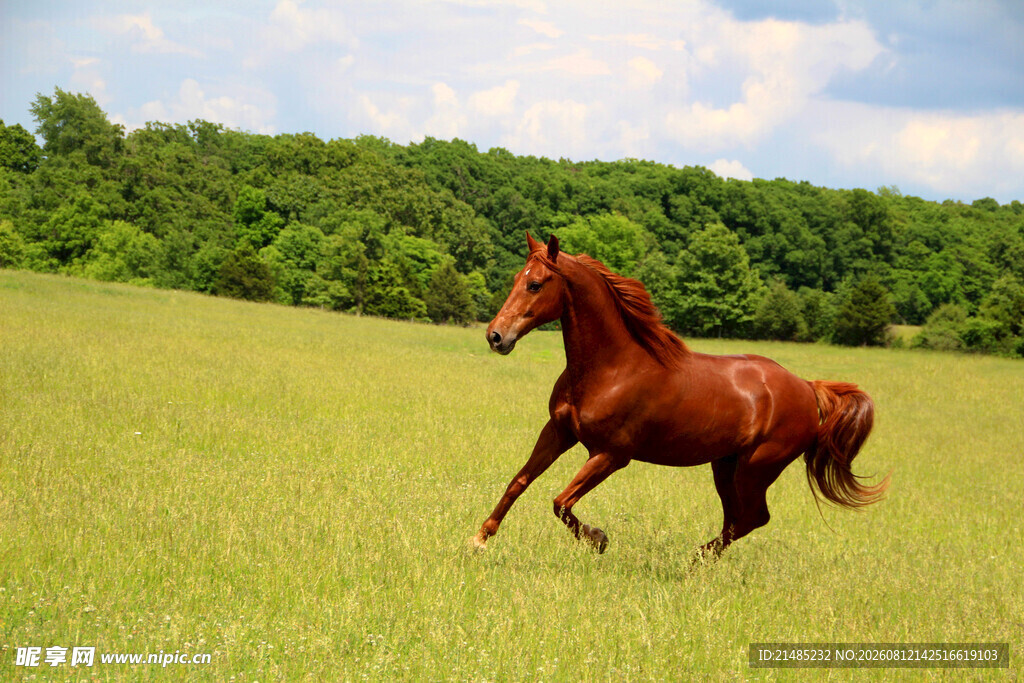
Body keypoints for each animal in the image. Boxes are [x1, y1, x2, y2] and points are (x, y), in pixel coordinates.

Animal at [471, 232, 888, 558]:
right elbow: (519, 482)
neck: (612, 368)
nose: (496, 336)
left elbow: (560, 502)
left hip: (757, 468)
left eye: (536, 284)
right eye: (516, 278)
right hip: (726, 466)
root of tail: (807, 387)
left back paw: (695, 559)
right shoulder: (558, 432)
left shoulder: (611, 455)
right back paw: (699, 559)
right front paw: (480, 538)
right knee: (738, 518)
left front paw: (598, 538)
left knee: (753, 518)